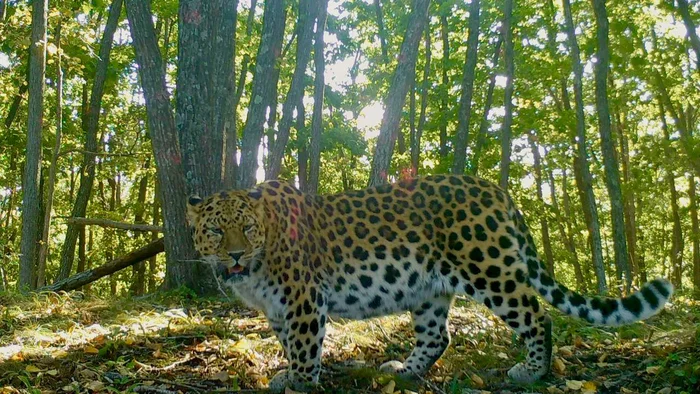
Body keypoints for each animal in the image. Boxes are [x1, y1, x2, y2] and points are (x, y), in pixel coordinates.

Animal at [186, 176, 672, 394]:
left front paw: (300, 382)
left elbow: (304, 345)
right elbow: (288, 342)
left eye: (246, 229)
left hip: (489, 269)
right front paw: (289, 372)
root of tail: (498, 191)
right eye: (216, 231)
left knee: (537, 316)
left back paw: (532, 371)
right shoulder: (278, 309)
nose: (235, 255)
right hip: (428, 289)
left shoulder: (304, 299)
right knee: (439, 335)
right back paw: (405, 370)